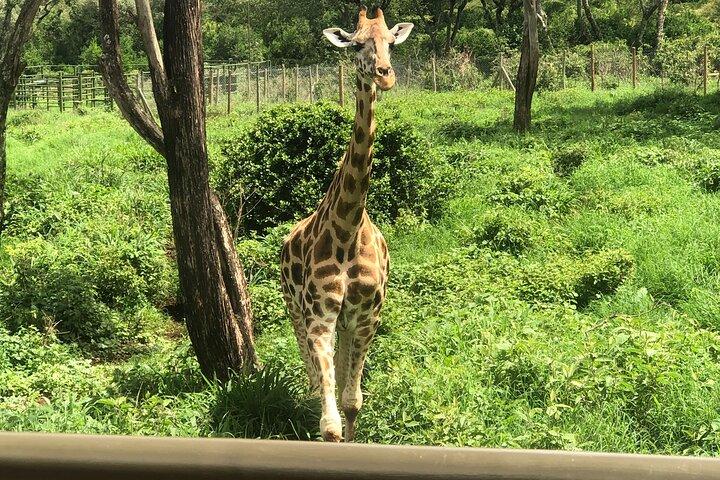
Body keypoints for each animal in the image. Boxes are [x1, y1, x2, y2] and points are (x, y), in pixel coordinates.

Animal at [280, 6, 413, 442]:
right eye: (356, 45)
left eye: (391, 41)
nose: (385, 74)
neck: (348, 228)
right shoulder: (319, 316)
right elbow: (330, 424)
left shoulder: (367, 314)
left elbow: (352, 402)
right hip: (294, 307)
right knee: (311, 374)